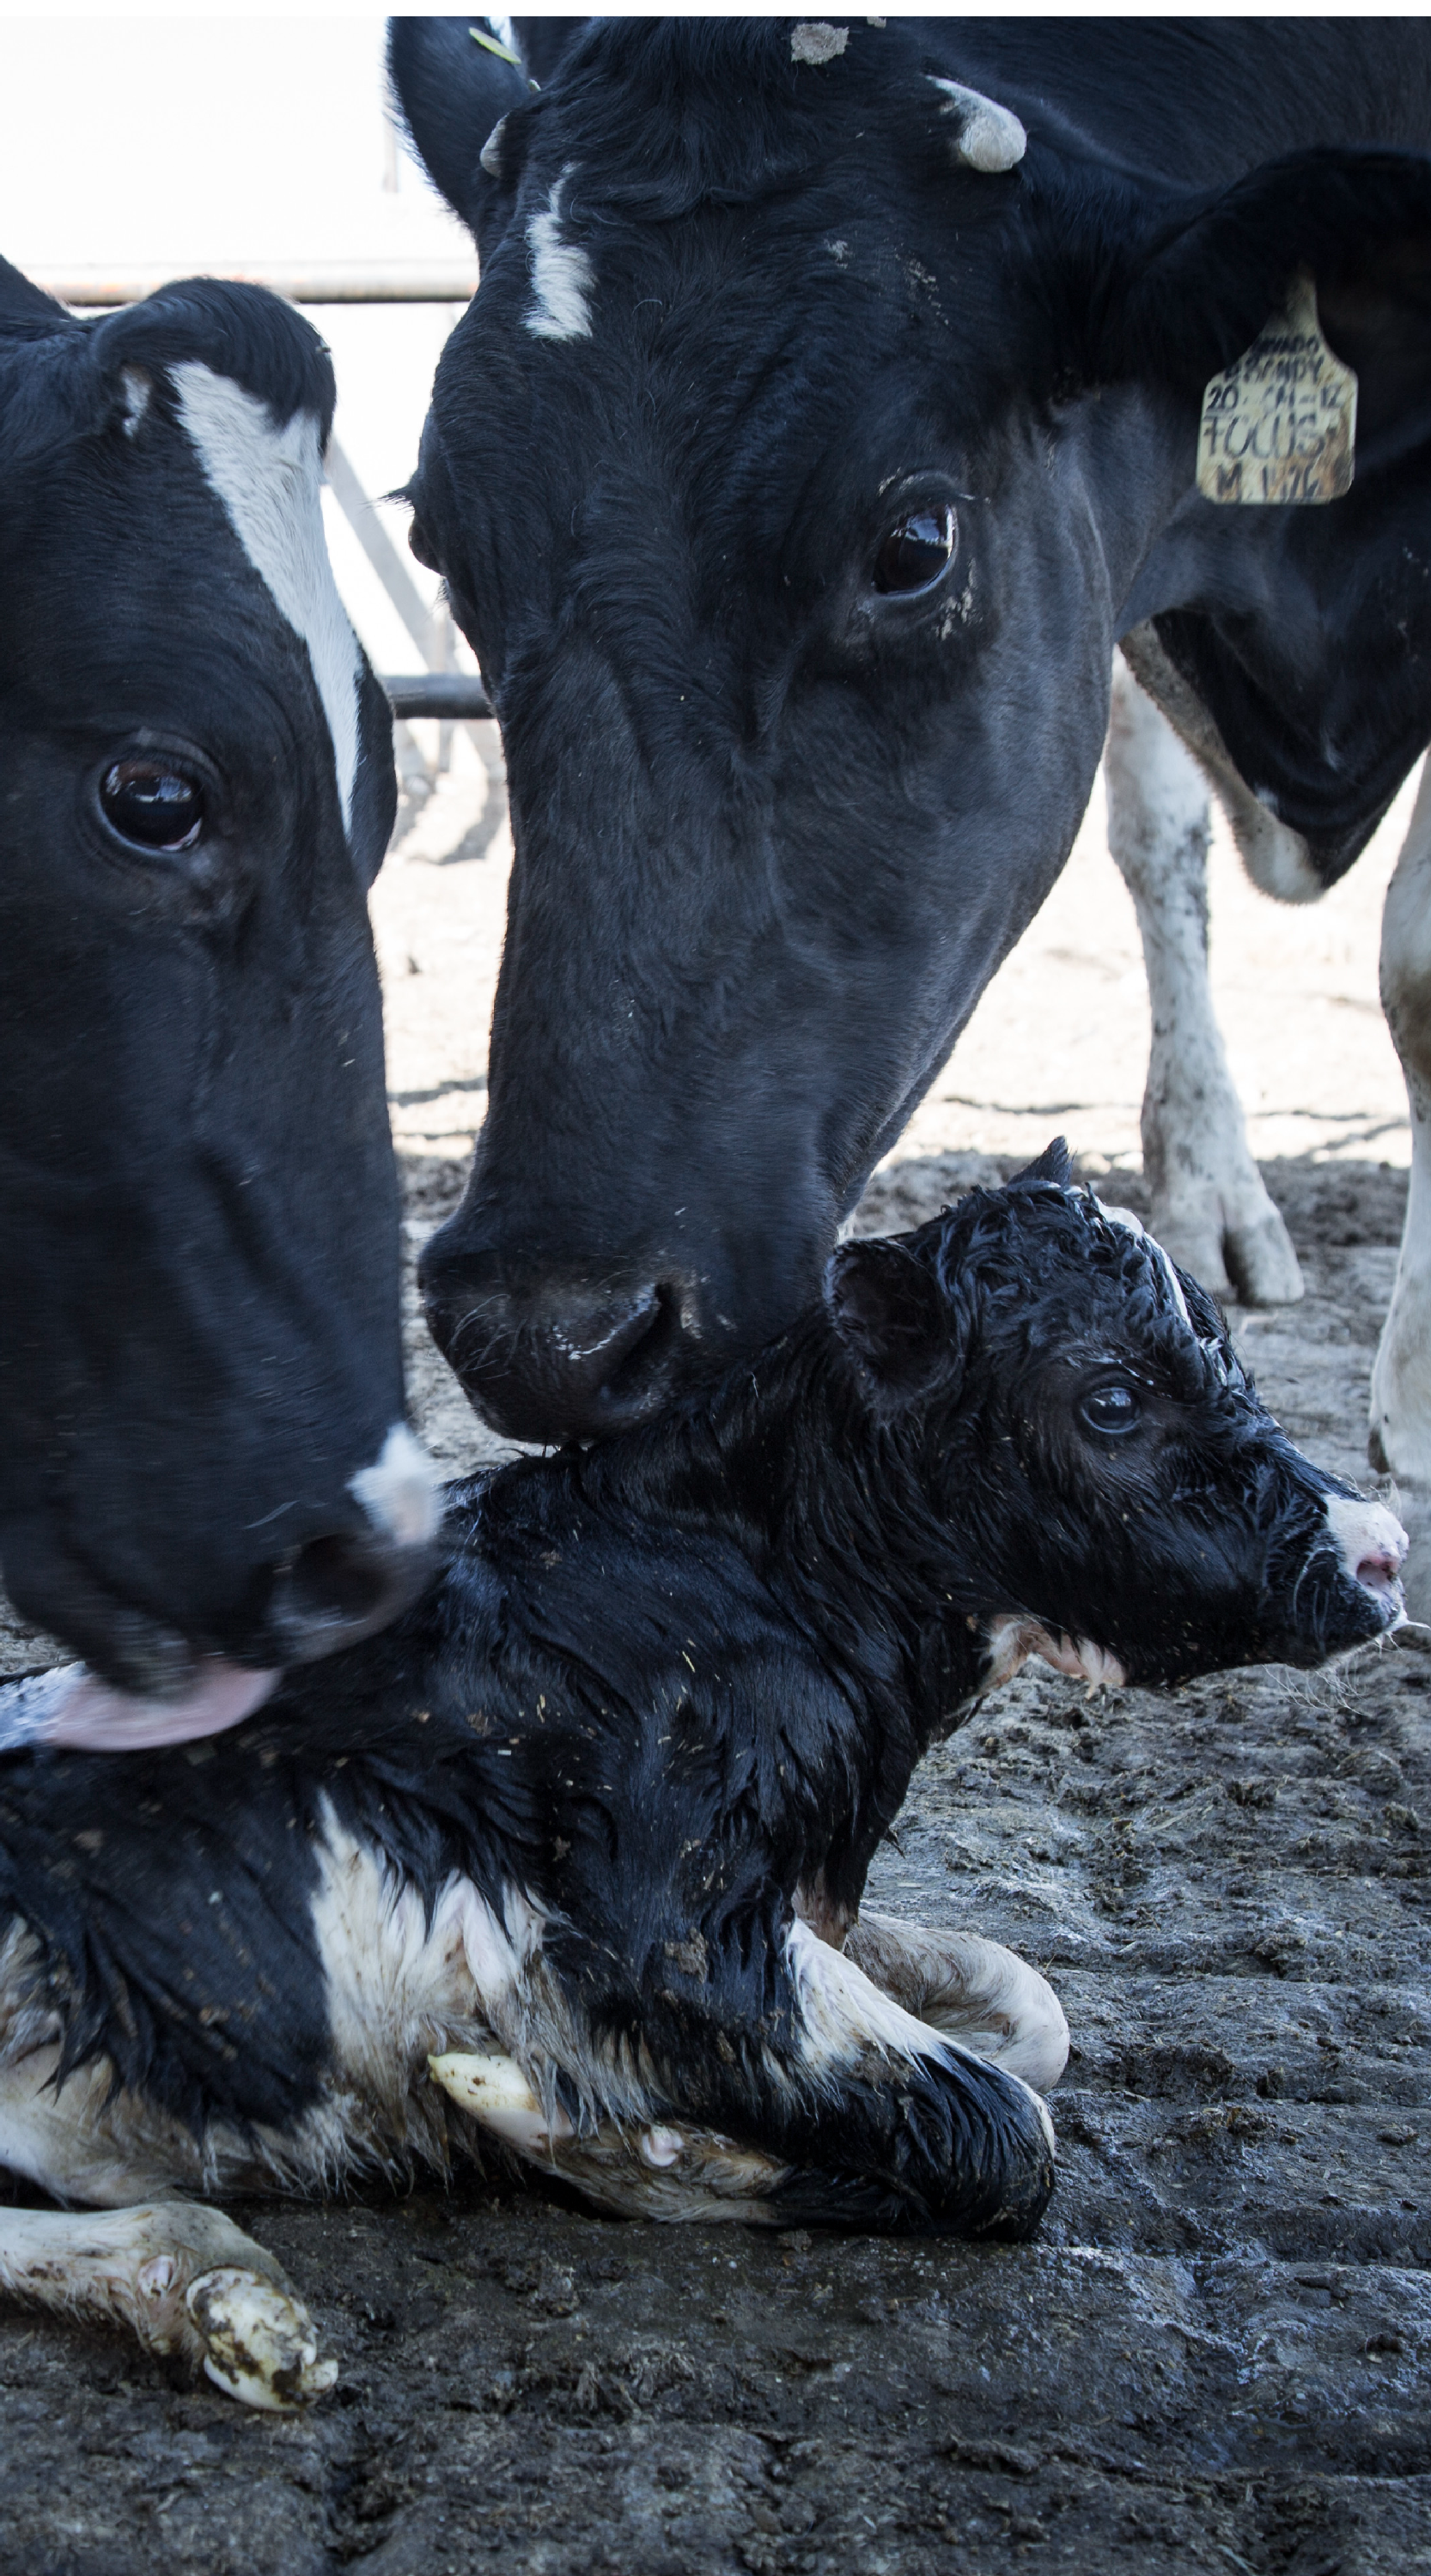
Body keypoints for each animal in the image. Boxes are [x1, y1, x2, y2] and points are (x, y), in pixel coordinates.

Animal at [0, 1152, 1405, 2405]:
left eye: (1228, 1345)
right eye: (1110, 1397)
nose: (1383, 1548)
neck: (741, 1574)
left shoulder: (794, 1898)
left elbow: (1030, 2007)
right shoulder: (657, 1939)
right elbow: (1007, 2129)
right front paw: (614, 2146)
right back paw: (218, 2300)